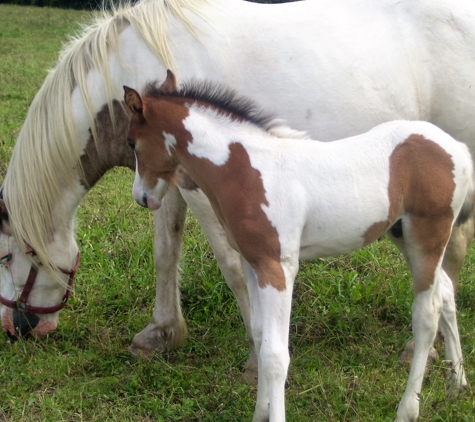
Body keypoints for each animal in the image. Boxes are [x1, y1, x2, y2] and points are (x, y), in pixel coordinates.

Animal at [0, 0, 475, 382]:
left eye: (6, 257)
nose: (16, 329)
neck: (131, 71)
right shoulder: (162, 179)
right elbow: (165, 252)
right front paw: (161, 332)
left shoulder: (203, 189)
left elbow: (230, 263)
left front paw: (254, 355)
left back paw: (421, 347)